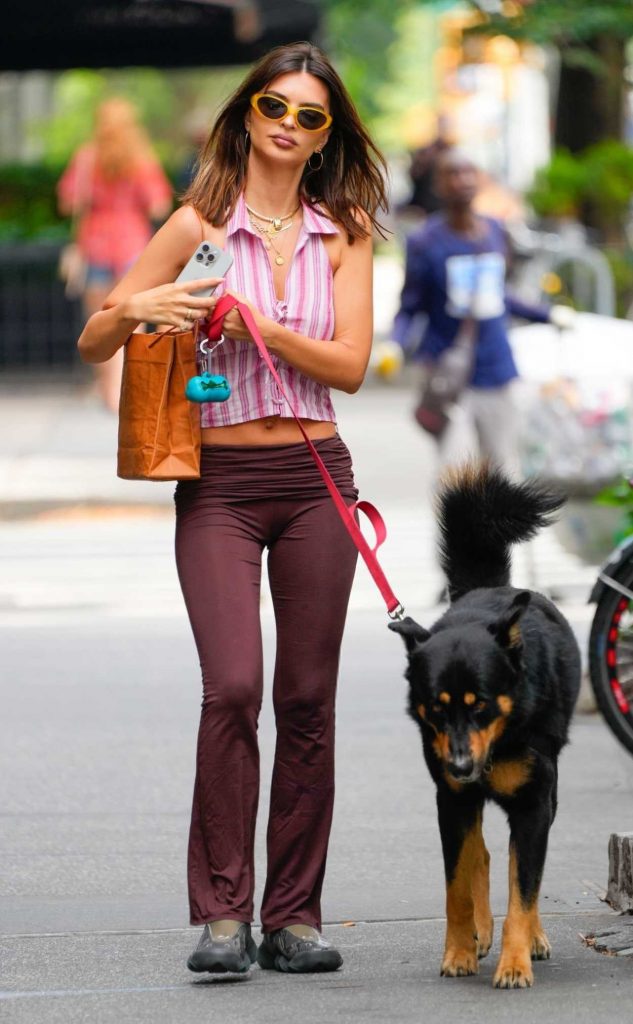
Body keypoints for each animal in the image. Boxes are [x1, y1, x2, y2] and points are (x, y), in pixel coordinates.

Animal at [391, 468, 577, 987]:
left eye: (483, 707)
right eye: (437, 709)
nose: (459, 765)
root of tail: (490, 589)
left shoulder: (534, 805)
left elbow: (524, 890)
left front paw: (515, 962)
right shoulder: (450, 801)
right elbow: (458, 883)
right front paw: (458, 952)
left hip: (549, 794)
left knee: (519, 867)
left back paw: (532, 939)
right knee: (482, 854)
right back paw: (479, 931)